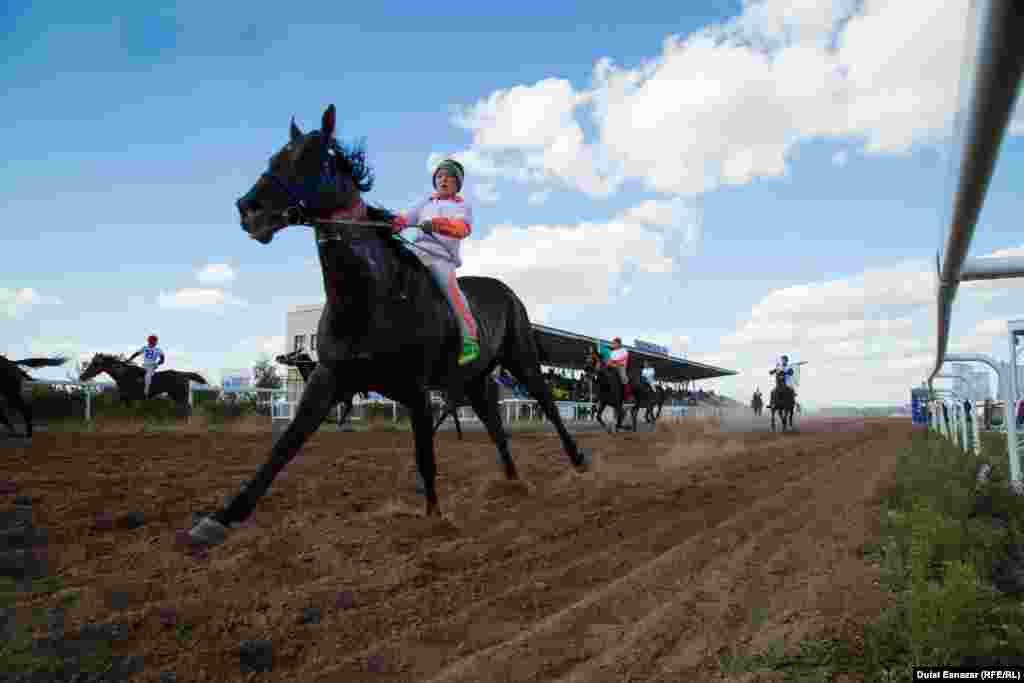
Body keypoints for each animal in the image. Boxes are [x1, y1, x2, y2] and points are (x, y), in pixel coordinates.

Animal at [78, 352, 206, 417]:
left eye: (95, 364)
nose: (82, 376)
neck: (124, 374)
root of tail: (183, 374)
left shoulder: (129, 398)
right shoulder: (127, 398)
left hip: (180, 395)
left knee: (188, 409)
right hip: (176, 396)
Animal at [186, 104, 593, 557]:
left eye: (313, 158)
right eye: (275, 156)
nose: (249, 209)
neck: (370, 298)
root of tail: (505, 290)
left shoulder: (415, 388)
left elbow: (425, 454)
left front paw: (436, 518)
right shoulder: (331, 377)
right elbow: (285, 444)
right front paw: (221, 517)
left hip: (521, 357)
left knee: (549, 406)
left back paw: (577, 462)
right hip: (473, 380)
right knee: (494, 423)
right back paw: (512, 481)